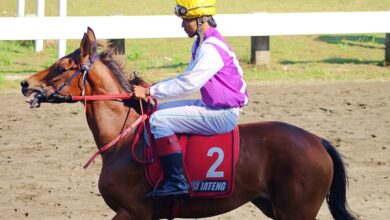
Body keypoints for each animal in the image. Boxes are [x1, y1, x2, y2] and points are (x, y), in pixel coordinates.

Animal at [21, 27, 356, 220]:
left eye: (62, 67)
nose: (26, 83)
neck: (123, 140)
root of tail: (318, 141)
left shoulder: (133, 213)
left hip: (296, 211)